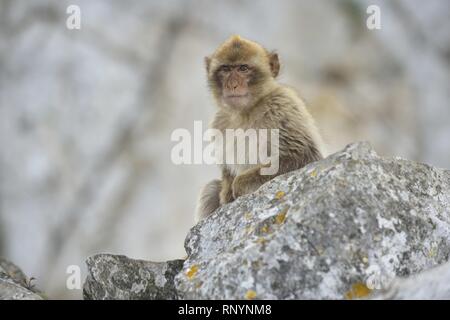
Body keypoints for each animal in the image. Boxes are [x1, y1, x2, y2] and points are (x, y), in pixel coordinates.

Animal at [195, 34, 326, 220]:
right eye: (226, 69)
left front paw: (238, 185)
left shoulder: (282, 107)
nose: (232, 85)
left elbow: (303, 155)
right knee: (211, 189)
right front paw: (226, 191)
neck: (244, 113)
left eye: (243, 68)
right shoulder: (219, 121)